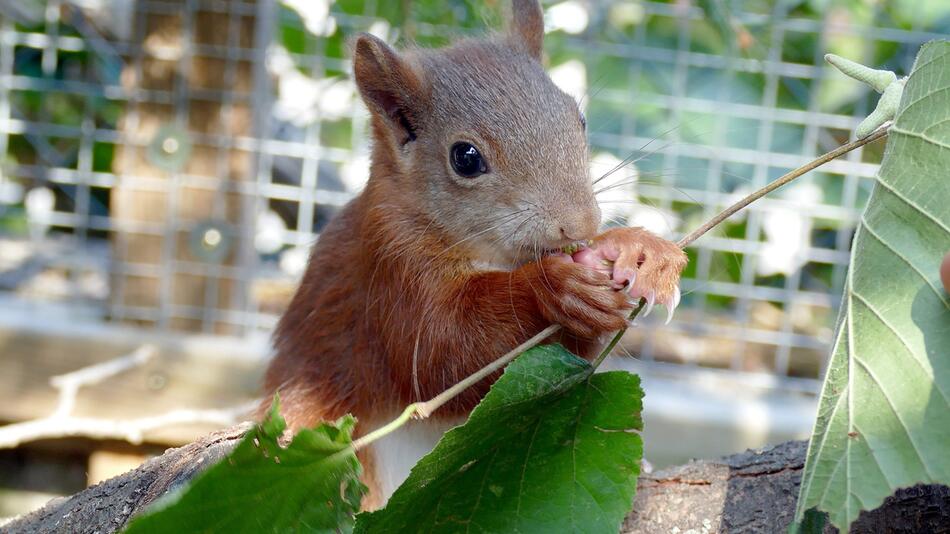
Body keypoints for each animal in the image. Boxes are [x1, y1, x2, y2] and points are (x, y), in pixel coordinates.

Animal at [264, 0, 688, 510]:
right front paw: (552, 287)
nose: (579, 224)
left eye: (578, 119)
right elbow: (445, 355)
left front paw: (639, 248)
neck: (494, 255)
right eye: (465, 158)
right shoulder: (389, 265)